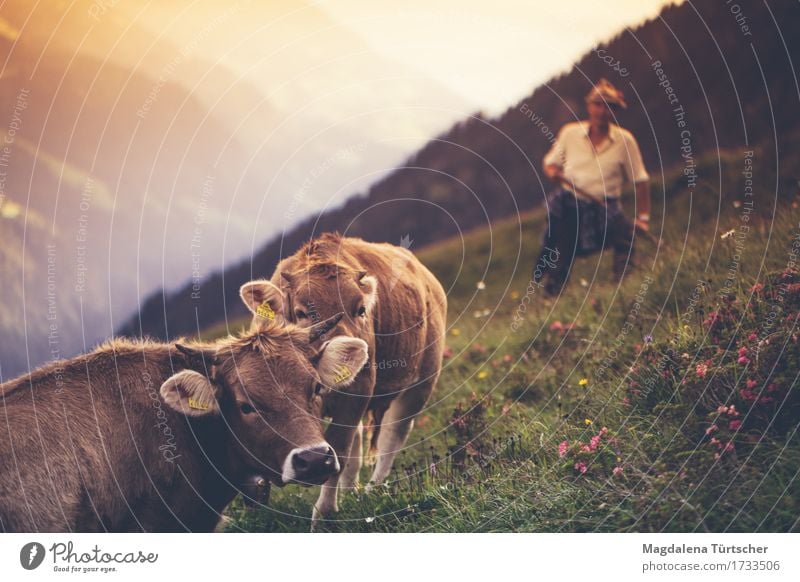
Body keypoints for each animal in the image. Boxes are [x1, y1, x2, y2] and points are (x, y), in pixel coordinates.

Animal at [245, 234, 444, 528]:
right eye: (302, 313)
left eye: (360, 309)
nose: (345, 348)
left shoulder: (357, 391)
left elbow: (337, 448)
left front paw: (324, 515)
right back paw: (351, 491)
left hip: (423, 380)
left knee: (393, 434)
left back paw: (373, 488)